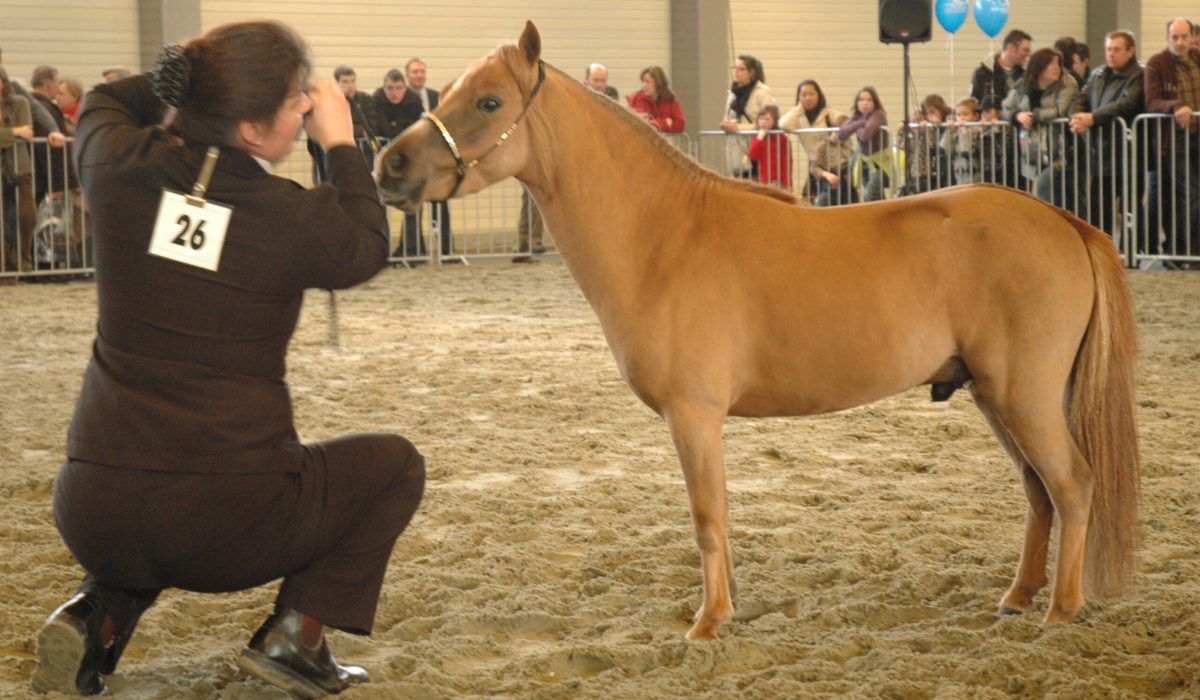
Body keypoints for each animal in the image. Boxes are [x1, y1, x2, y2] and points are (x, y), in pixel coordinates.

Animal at [375, 22, 1140, 641]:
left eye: (489, 102)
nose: (390, 165)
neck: (664, 236)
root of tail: (1065, 221)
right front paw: (728, 605)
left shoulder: (694, 416)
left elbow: (707, 517)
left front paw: (709, 621)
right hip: (992, 396)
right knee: (1039, 492)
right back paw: (1017, 597)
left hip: (1023, 397)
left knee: (1072, 486)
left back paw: (1059, 611)